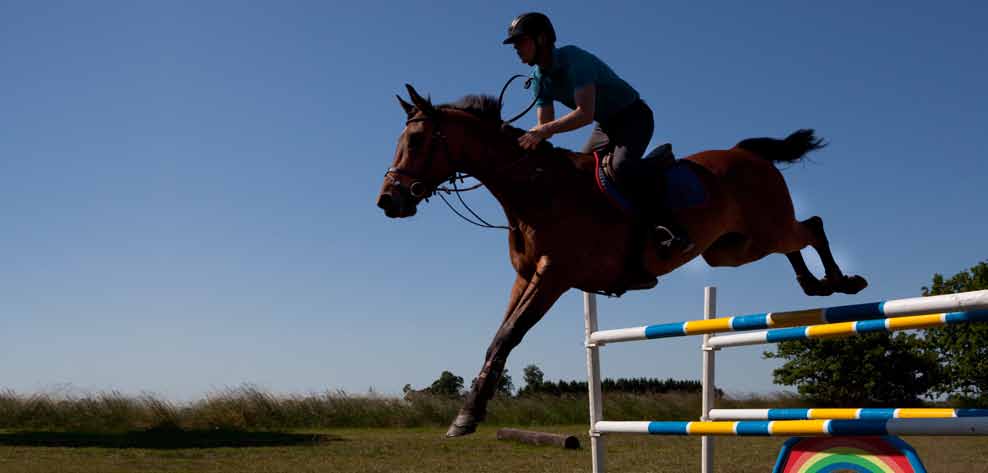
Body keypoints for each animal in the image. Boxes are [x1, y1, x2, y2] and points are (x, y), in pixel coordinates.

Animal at [374, 84, 868, 436]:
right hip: (732, 249)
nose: (387, 200)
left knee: (811, 226)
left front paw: (468, 415)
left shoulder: (554, 276)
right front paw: (467, 413)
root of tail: (746, 152)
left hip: (762, 230)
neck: (536, 189)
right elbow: (498, 338)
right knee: (793, 242)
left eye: (416, 140)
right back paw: (814, 285)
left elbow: (508, 335)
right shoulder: (526, 277)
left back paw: (841, 282)